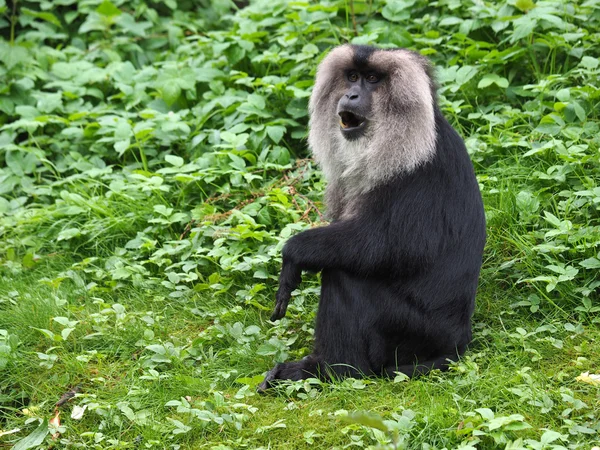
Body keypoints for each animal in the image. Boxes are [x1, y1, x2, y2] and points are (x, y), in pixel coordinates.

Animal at [258, 44, 488, 390]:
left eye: (372, 79)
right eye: (352, 77)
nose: (351, 94)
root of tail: (459, 340)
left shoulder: (422, 171)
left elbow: (395, 248)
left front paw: (294, 253)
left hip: (412, 334)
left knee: (344, 275)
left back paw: (329, 370)